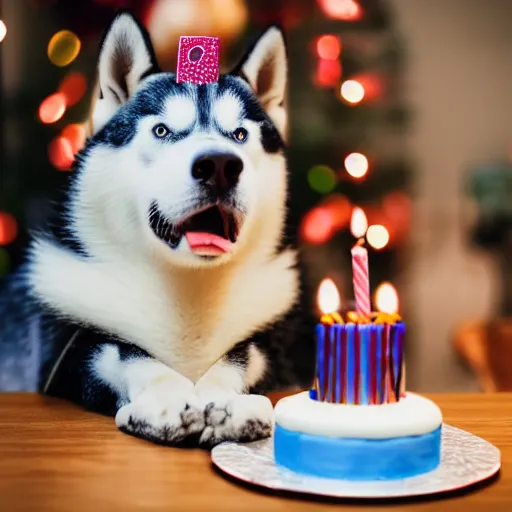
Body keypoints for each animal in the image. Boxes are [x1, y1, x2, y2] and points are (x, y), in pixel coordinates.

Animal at [0, 10, 316, 446]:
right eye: (162, 130)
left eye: (240, 135)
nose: (220, 165)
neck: (189, 286)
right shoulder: (62, 353)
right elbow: (124, 352)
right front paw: (167, 397)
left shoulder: (272, 344)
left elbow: (240, 355)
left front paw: (223, 399)